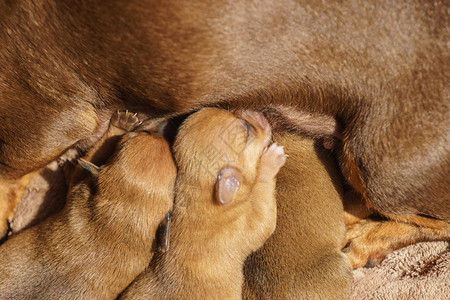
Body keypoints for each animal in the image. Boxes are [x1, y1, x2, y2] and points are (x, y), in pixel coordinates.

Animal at [0, 111, 176, 298]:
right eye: (139, 133)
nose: (170, 121)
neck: (121, 216)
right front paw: (121, 123)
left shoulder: (79, 184)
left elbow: (88, 159)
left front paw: (121, 123)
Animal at [119, 106, 286, 298]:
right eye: (247, 128)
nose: (255, 110)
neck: (200, 192)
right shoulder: (252, 222)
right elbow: (262, 193)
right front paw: (271, 159)